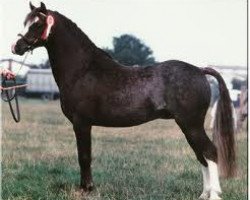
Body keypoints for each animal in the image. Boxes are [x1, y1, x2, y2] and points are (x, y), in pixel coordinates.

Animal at [12, 2, 236, 199]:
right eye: (25, 22)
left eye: (37, 24)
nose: (16, 47)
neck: (84, 70)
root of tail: (199, 70)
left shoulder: (81, 123)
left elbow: (84, 157)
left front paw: (86, 189)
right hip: (189, 126)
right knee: (202, 156)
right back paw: (204, 194)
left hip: (191, 125)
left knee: (209, 152)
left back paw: (214, 195)